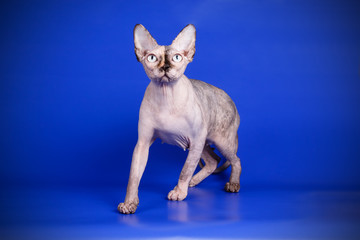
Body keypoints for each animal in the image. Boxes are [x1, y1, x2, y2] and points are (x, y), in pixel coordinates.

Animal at [119, 23, 242, 214]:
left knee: (235, 160)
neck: (166, 95)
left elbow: (185, 170)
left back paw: (232, 184)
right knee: (214, 161)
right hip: (202, 143)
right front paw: (129, 203)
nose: (165, 67)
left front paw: (179, 193)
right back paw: (195, 181)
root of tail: (232, 102)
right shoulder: (143, 143)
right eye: (152, 58)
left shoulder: (196, 139)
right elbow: (133, 177)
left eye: (177, 57)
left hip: (219, 141)